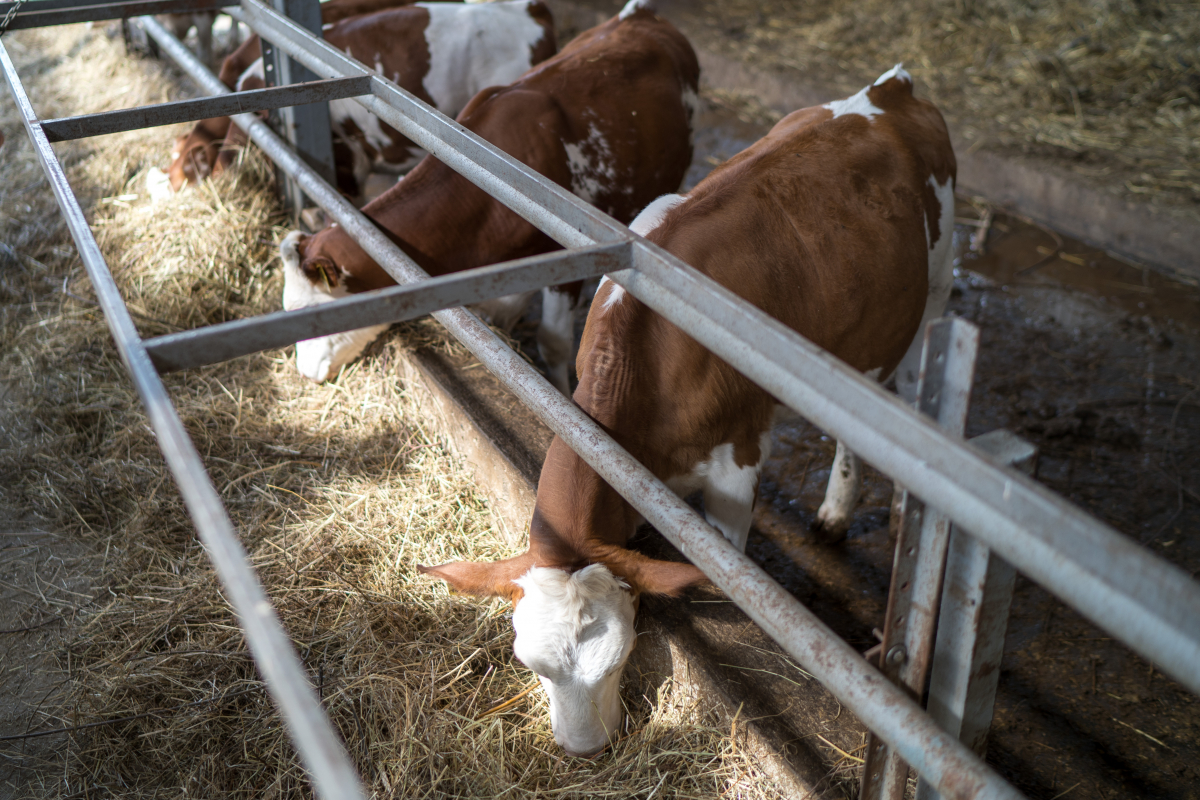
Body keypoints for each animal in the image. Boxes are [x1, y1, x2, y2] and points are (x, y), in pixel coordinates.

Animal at [417, 64, 960, 758]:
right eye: (528, 663)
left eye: (619, 658)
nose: (582, 750)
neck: (646, 357)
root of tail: (887, 89)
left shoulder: (737, 463)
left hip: (933, 300)